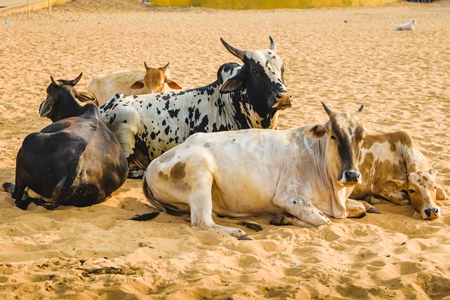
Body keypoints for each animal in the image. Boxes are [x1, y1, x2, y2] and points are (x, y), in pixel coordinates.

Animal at [2, 73, 128, 210]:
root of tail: (77, 163)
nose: (40, 106)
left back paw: (8, 186)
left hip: (28, 143)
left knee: (17, 195)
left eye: (48, 92)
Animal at [139, 103, 368, 239]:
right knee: (202, 222)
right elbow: (324, 221)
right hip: (200, 170)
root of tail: (151, 166)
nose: (352, 175)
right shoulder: (289, 197)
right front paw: (284, 219)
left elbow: (360, 209)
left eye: (361, 137)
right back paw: (239, 232)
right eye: (333, 136)